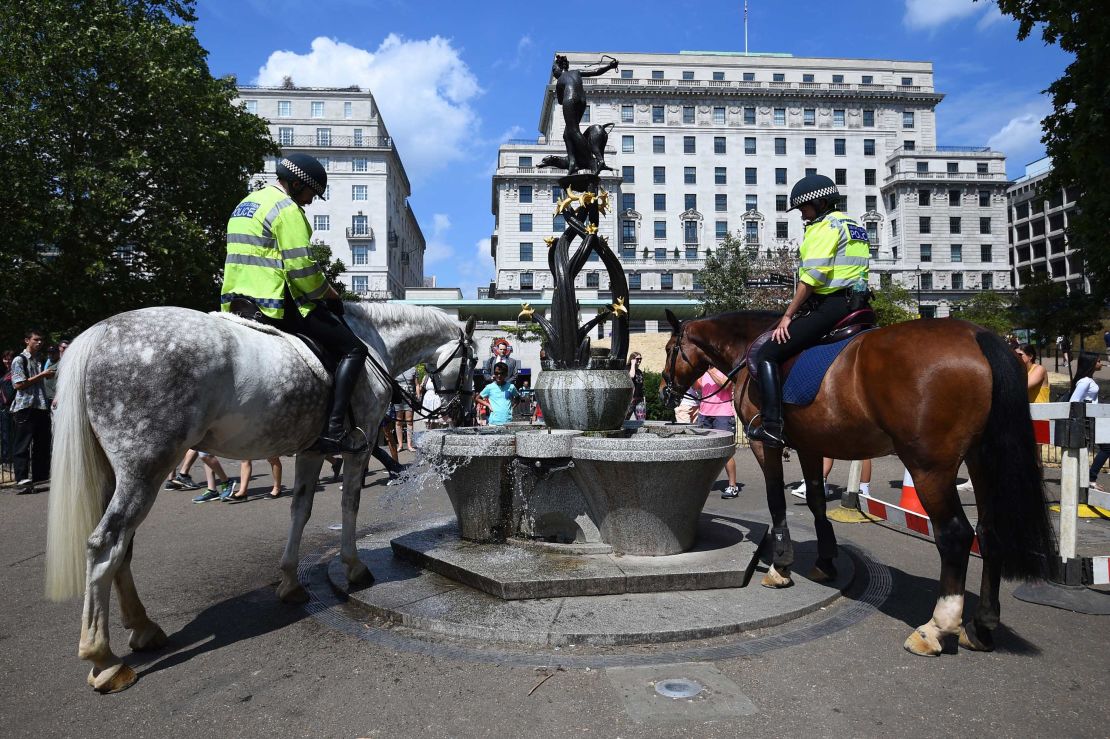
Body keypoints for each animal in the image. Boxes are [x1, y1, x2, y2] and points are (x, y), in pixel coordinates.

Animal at [45, 301, 477, 692]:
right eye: (473, 360)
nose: (465, 411)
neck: (373, 343)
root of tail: (101, 331)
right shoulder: (362, 443)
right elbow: (349, 504)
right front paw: (353, 567)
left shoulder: (311, 450)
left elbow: (300, 510)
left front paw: (289, 581)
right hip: (146, 467)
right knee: (105, 544)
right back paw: (103, 659)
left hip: (118, 474)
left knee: (123, 549)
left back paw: (143, 627)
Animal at [661, 308, 1052, 652]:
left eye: (668, 349)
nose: (665, 389)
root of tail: (976, 335)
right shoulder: (811, 445)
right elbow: (816, 500)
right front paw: (825, 560)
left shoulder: (765, 444)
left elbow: (776, 500)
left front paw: (780, 565)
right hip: (981, 458)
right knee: (989, 530)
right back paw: (982, 626)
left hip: (929, 466)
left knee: (955, 534)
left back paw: (936, 628)